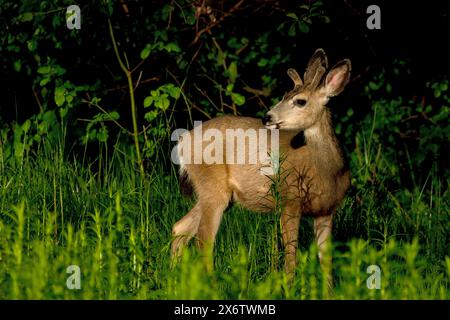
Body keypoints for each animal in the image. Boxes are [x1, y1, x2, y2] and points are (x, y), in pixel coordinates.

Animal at [171, 48, 350, 282]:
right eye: (284, 96)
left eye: (300, 101)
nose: (267, 117)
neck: (328, 171)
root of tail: (182, 142)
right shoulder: (289, 199)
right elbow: (290, 257)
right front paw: (288, 286)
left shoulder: (327, 210)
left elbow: (326, 262)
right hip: (212, 188)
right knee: (204, 241)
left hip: (220, 195)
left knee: (180, 228)